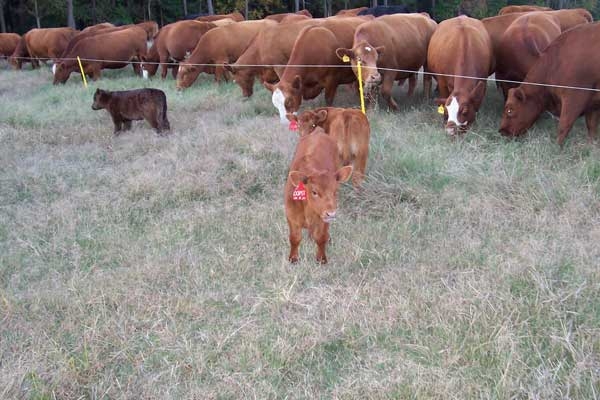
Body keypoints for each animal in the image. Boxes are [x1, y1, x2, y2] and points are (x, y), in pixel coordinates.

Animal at [284, 130, 354, 264]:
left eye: (335, 191)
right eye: (314, 192)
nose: (331, 213)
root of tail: (318, 131)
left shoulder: (324, 220)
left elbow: (321, 238)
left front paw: (321, 259)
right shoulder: (290, 215)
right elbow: (294, 238)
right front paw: (293, 259)